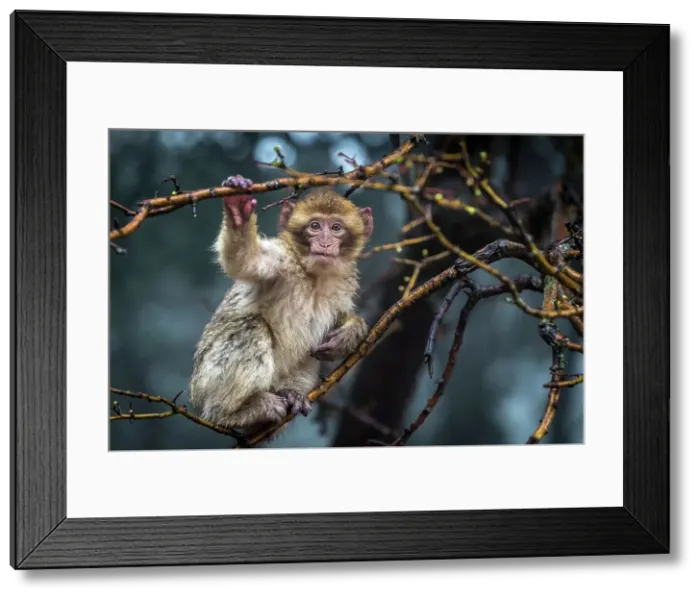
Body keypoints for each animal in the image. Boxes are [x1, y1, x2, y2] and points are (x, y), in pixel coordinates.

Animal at [188, 174, 374, 440]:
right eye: (315, 226)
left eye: (336, 228)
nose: (325, 243)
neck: (313, 275)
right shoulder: (280, 261)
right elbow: (245, 259)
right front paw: (237, 210)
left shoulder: (344, 282)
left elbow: (338, 317)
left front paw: (351, 332)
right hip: (205, 383)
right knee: (250, 327)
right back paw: (228, 413)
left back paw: (289, 394)